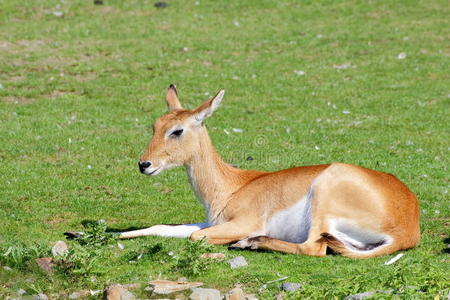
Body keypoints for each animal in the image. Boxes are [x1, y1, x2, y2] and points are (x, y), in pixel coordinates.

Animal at [120, 84, 422, 258]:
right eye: (155, 125)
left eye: (177, 130)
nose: (144, 164)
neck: (232, 186)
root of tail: (408, 227)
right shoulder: (213, 222)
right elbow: (165, 227)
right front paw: (120, 235)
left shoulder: (243, 222)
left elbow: (195, 236)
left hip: (323, 195)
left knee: (314, 248)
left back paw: (248, 243)